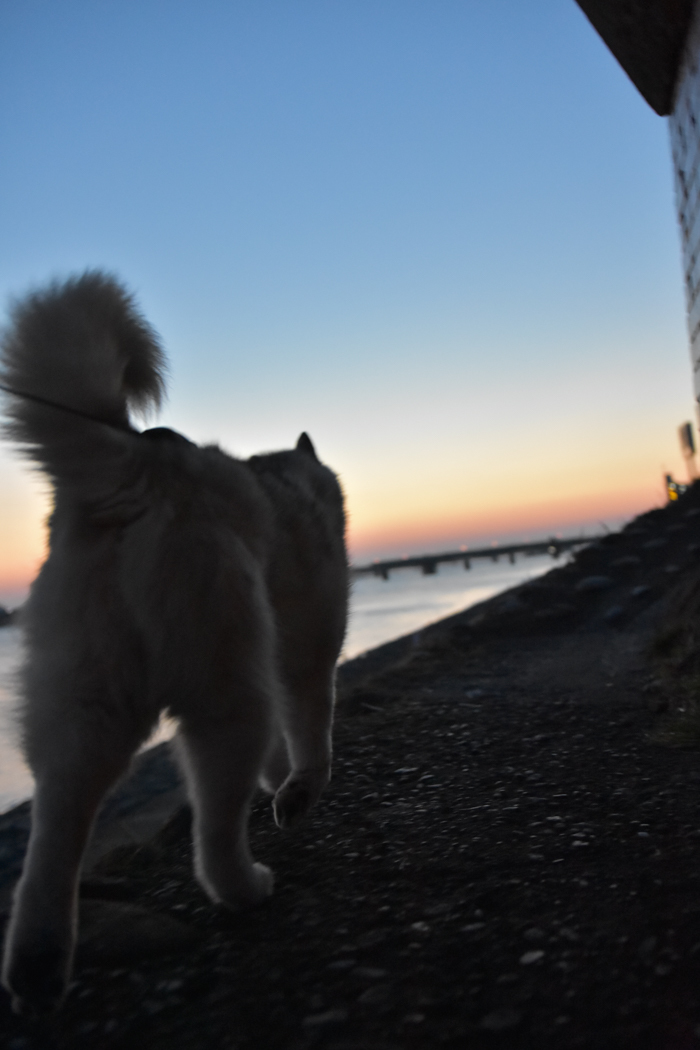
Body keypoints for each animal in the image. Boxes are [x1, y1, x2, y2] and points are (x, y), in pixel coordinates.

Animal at [0, 275, 348, 1012]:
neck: (286, 484)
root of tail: (134, 469)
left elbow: (284, 750)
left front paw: (279, 782)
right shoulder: (305, 654)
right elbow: (312, 736)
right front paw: (297, 792)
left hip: (84, 707)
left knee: (52, 841)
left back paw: (38, 967)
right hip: (225, 693)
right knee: (213, 829)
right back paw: (245, 887)